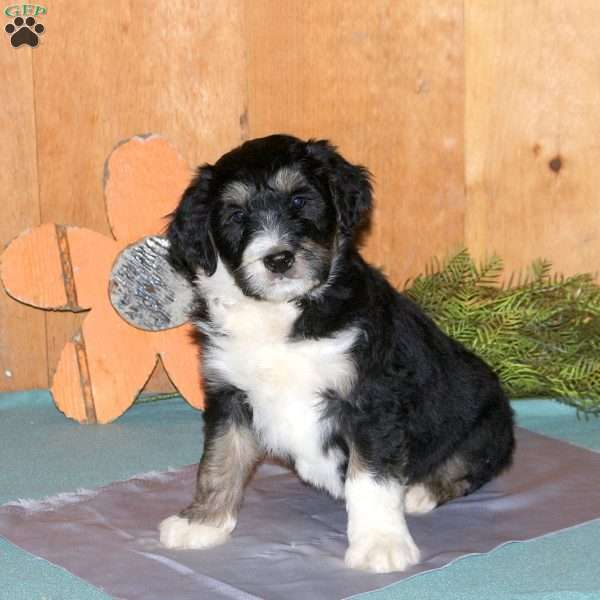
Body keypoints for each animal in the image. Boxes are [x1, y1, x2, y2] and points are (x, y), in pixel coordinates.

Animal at [157, 134, 512, 576]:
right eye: (236, 215)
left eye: (299, 200)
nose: (278, 259)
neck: (282, 313)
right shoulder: (229, 396)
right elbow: (219, 460)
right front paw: (202, 522)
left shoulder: (371, 401)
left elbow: (372, 480)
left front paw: (380, 544)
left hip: (487, 423)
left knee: (470, 465)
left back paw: (420, 491)